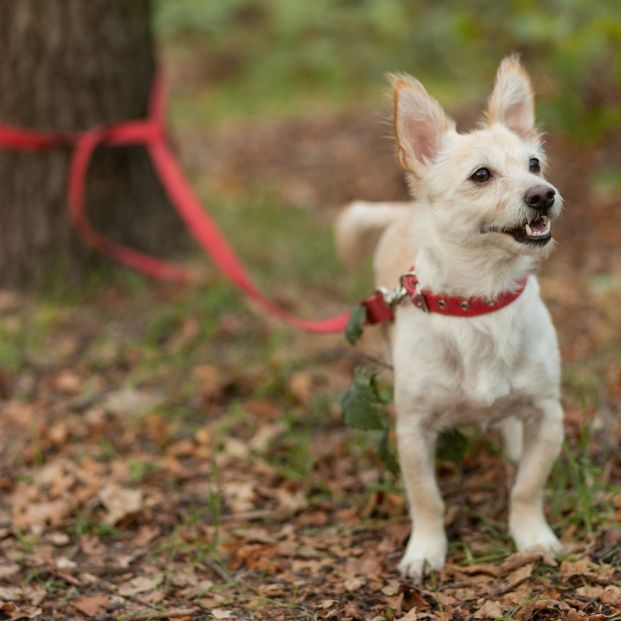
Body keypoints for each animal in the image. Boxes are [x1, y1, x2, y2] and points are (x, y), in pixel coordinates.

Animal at [336, 55, 564, 580]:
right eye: (481, 175)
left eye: (535, 164)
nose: (544, 194)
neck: (482, 301)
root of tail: (401, 211)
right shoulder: (413, 431)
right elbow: (427, 498)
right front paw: (425, 550)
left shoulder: (549, 415)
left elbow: (528, 487)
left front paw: (532, 537)